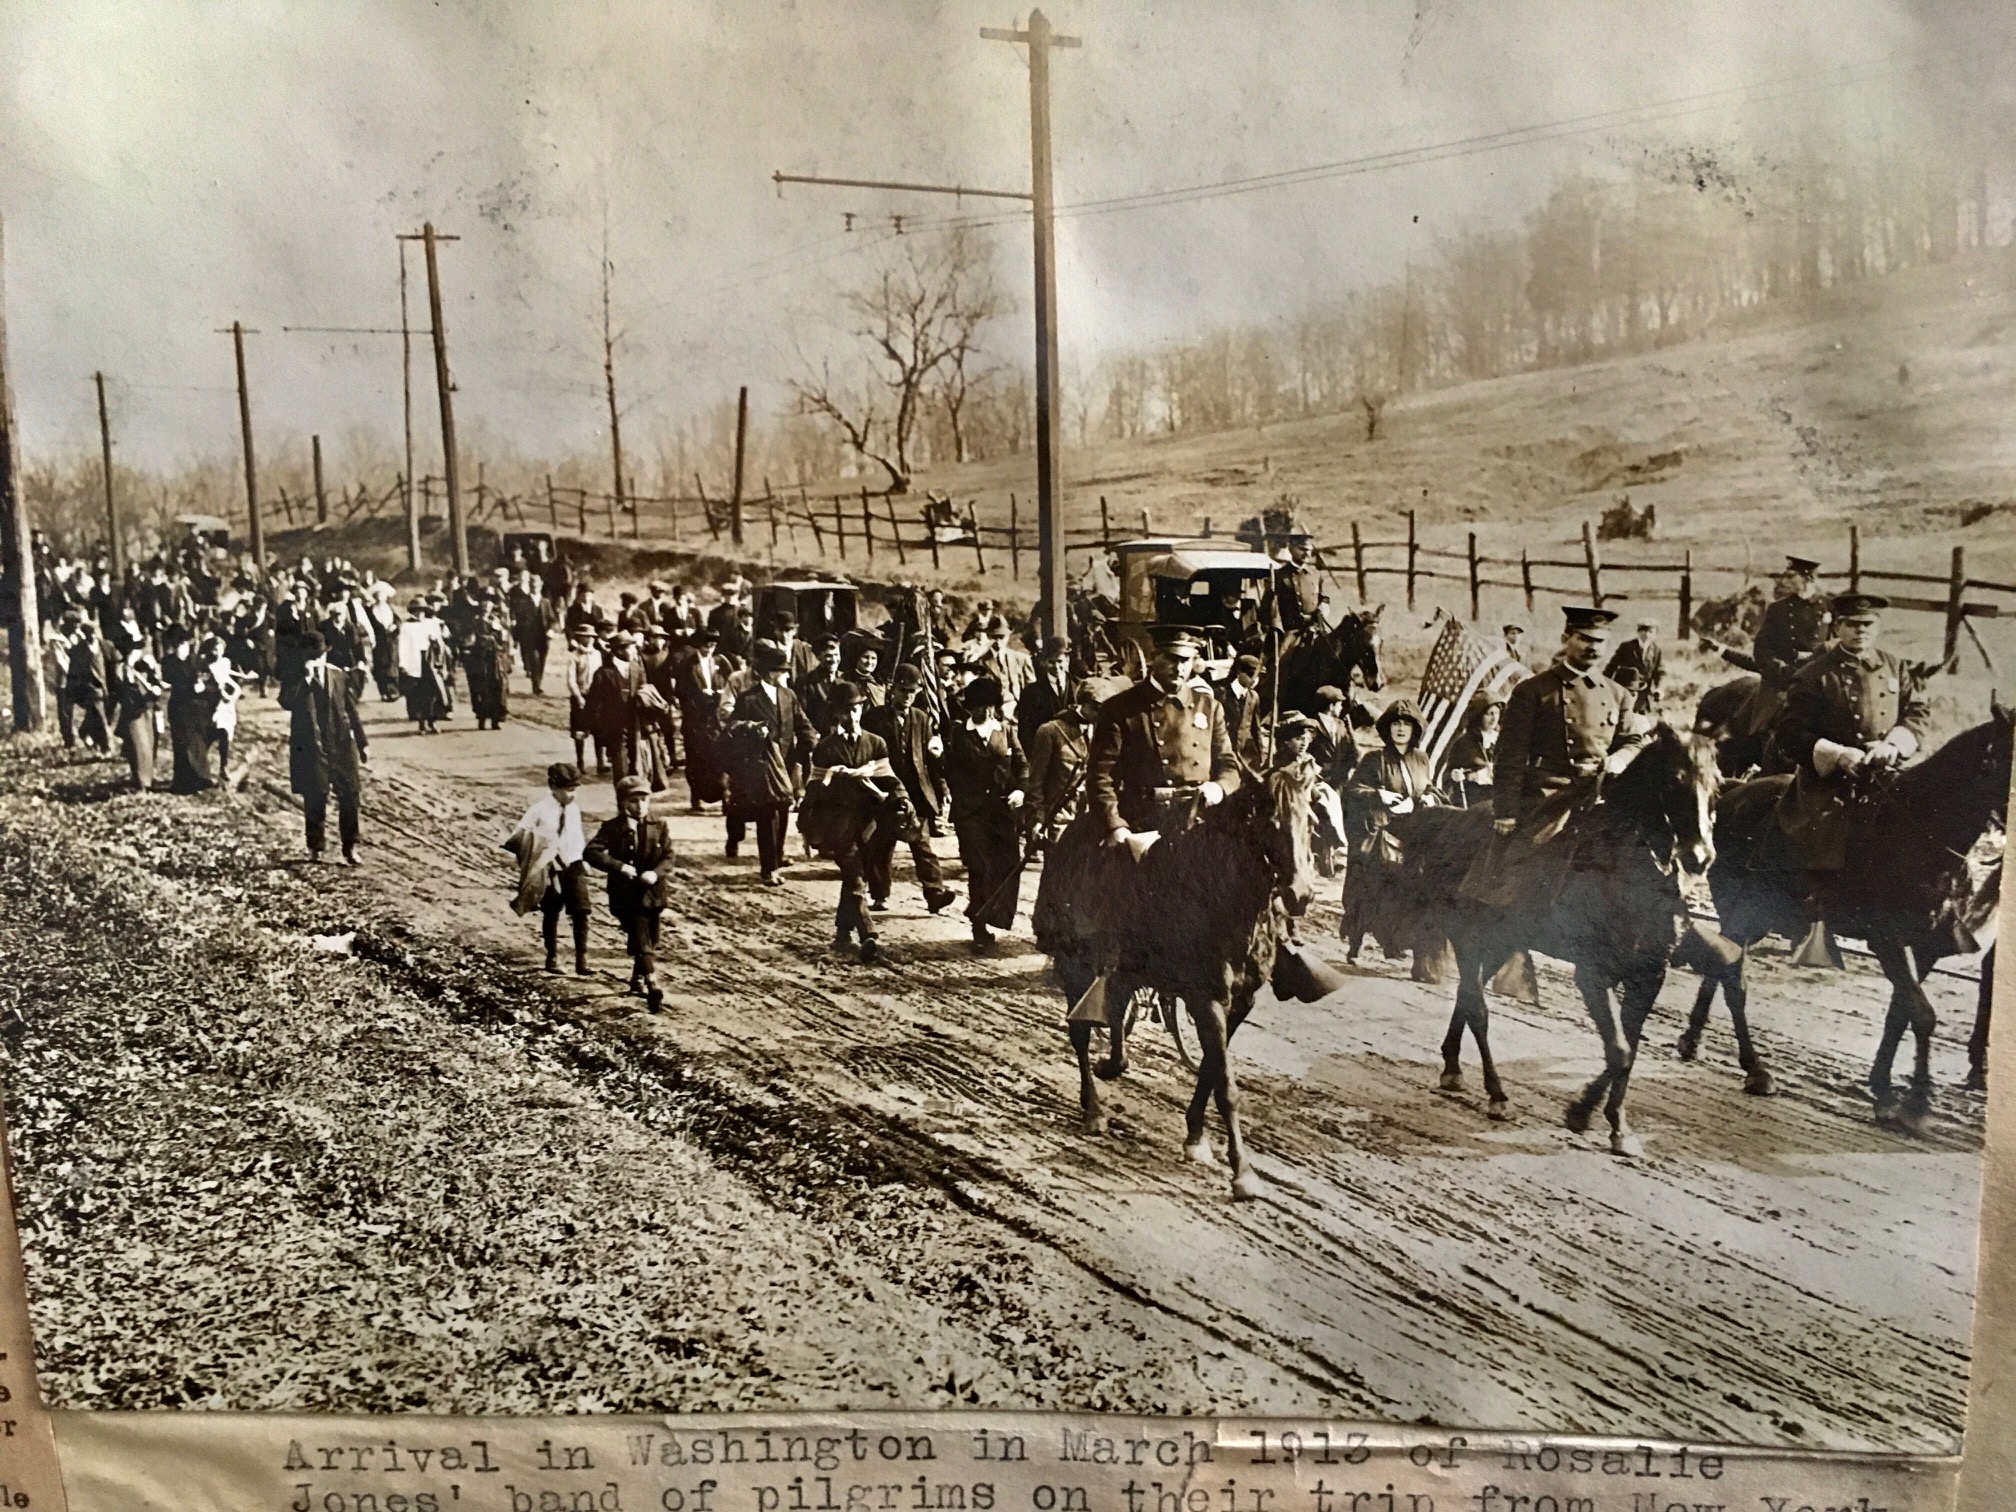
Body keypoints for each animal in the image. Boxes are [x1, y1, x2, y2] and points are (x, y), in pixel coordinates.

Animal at [1040, 762, 1322, 1201]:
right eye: (1270, 821)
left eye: (1309, 820)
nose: (1300, 895)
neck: (1223, 896)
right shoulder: (1206, 997)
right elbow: (1225, 1084)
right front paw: (1243, 1172)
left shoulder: (1238, 1003)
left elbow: (1210, 1070)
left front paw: (1196, 1137)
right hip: (1074, 964)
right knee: (1081, 1034)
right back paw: (1094, 1108)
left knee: (1115, 1011)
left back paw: (1113, 1065)